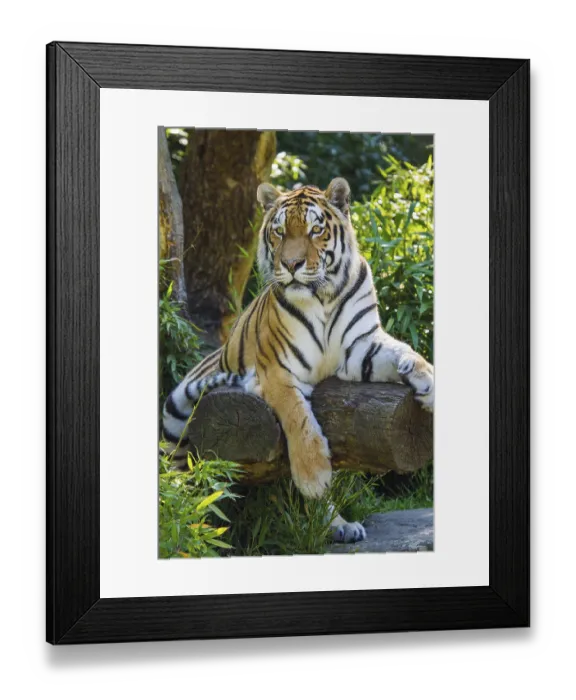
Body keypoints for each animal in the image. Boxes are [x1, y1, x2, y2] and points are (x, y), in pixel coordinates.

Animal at [162, 177, 434, 543]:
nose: (291, 265)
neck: (324, 296)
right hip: (175, 421)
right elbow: (298, 418)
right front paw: (314, 476)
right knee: (182, 482)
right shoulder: (277, 369)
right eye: (279, 232)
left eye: (315, 230)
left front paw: (426, 382)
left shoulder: (360, 346)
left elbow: (404, 352)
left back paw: (341, 526)